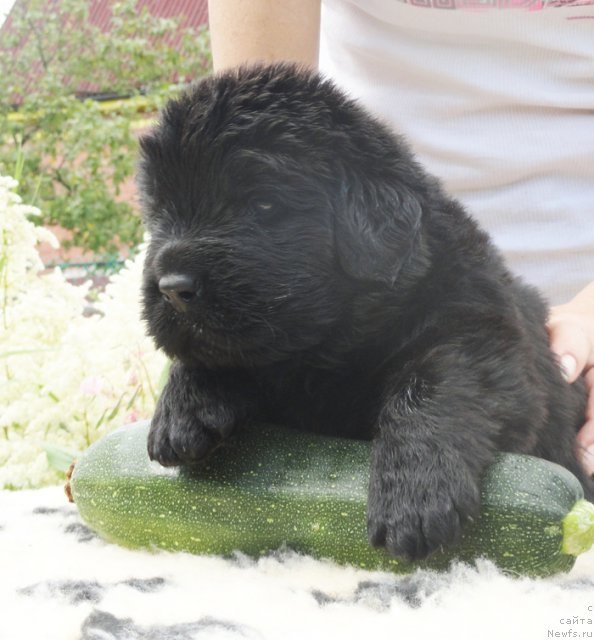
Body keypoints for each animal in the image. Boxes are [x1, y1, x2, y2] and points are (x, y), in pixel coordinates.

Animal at [135, 62, 592, 556]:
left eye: (264, 203)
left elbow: (436, 380)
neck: (328, 350)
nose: (172, 288)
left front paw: (414, 496)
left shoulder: (480, 330)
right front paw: (181, 409)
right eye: (160, 211)